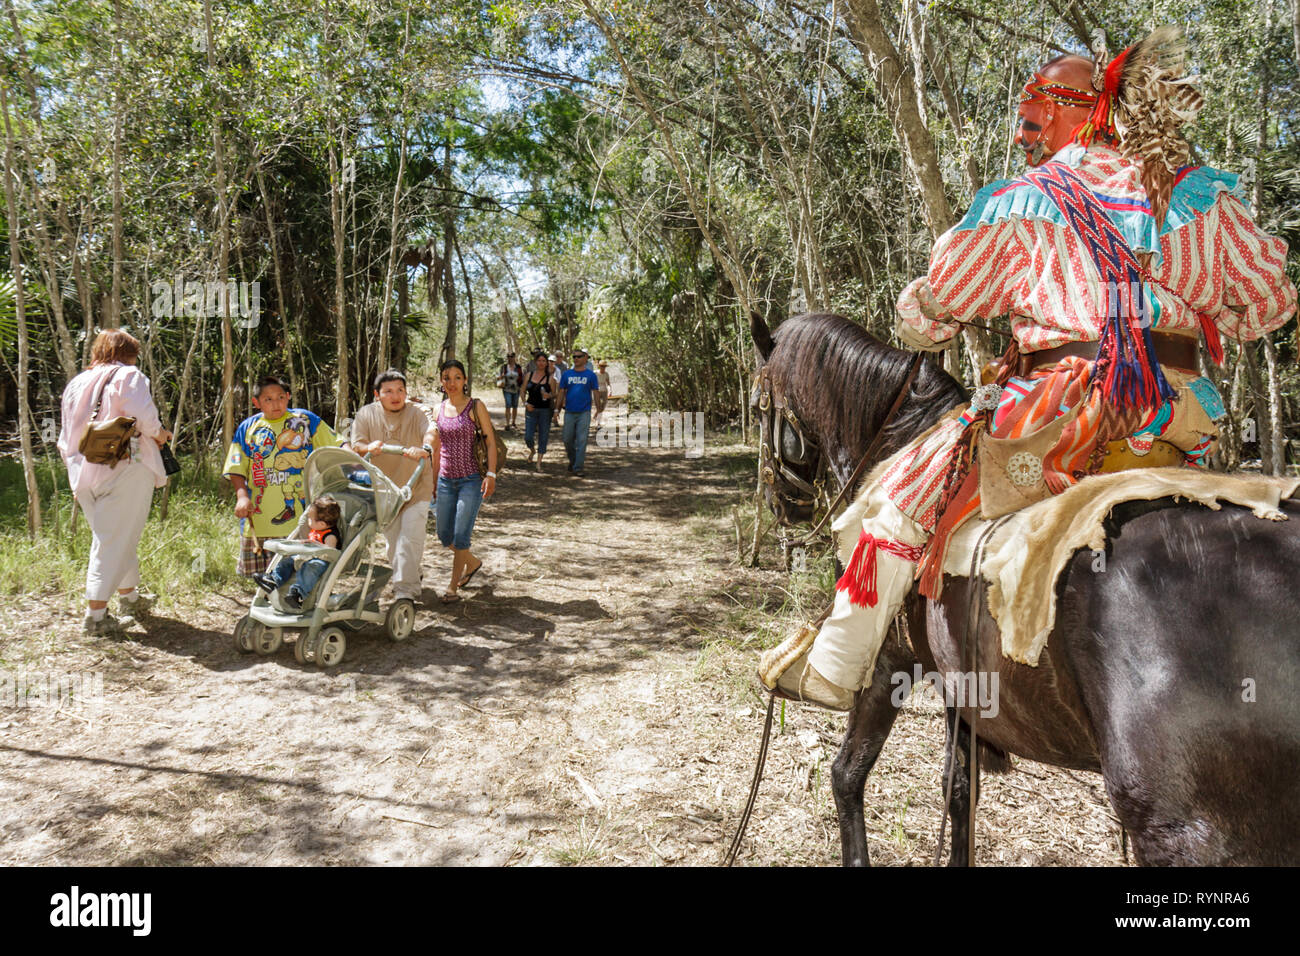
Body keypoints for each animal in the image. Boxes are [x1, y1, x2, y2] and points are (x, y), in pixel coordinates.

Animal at [754, 314, 1300, 868]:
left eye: (760, 405)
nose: (783, 503)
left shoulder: (890, 660)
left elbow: (848, 774)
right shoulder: (960, 689)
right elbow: (959, 790)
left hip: (1189, 832)